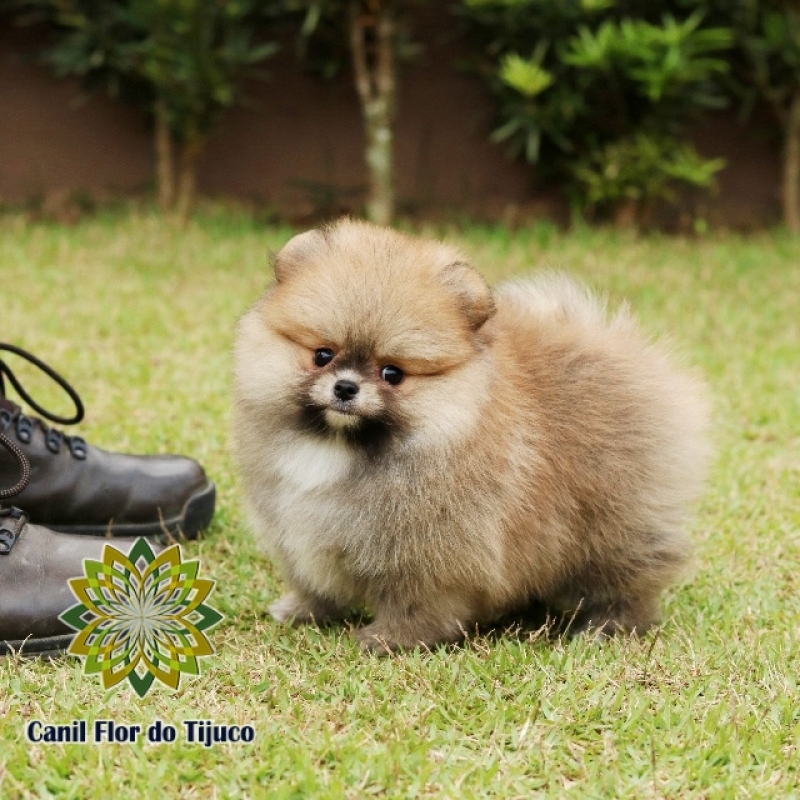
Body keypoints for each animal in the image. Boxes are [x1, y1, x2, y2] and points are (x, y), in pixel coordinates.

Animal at [230, 217, 708, 648]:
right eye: (322, 355)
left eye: (392, 374)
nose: (346, 387)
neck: (337, 445)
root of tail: (612, 346)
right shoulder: (296, 530)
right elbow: (314, 584)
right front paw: (303, 611)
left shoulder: (429, 553)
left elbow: (417, 605)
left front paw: (389, 639)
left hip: (616, 528)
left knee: (629, 580)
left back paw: (606, 628)